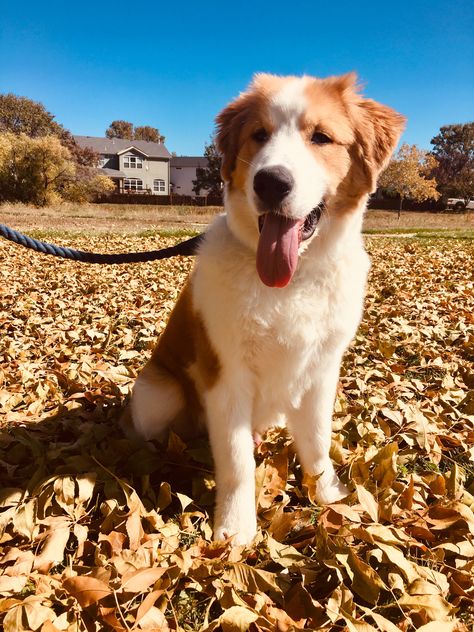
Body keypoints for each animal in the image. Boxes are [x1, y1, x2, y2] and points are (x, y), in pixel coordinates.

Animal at [126, 73, 404, 544]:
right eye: (259, 135)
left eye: (321, 137)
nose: (271, 182)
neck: (292, 281)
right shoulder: (226, 375)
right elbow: (236, 461)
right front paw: (236, 528)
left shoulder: (322, 370)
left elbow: (316, 440)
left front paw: (327, 495)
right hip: (155, 395)